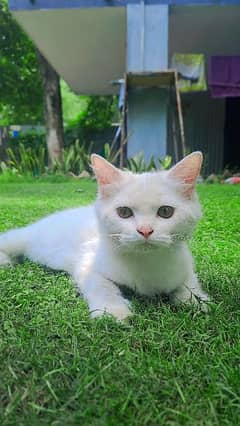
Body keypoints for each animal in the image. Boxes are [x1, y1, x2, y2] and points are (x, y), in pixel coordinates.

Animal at [0, 152, 208, 320]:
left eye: (165, 212)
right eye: (124, 212)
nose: (145, 230)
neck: (146, 263)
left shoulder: (184, 265)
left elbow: (190, 282)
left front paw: (195, 299)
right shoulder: (88, 265)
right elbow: (103, 287)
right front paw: (113, 311)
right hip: (25, 238)